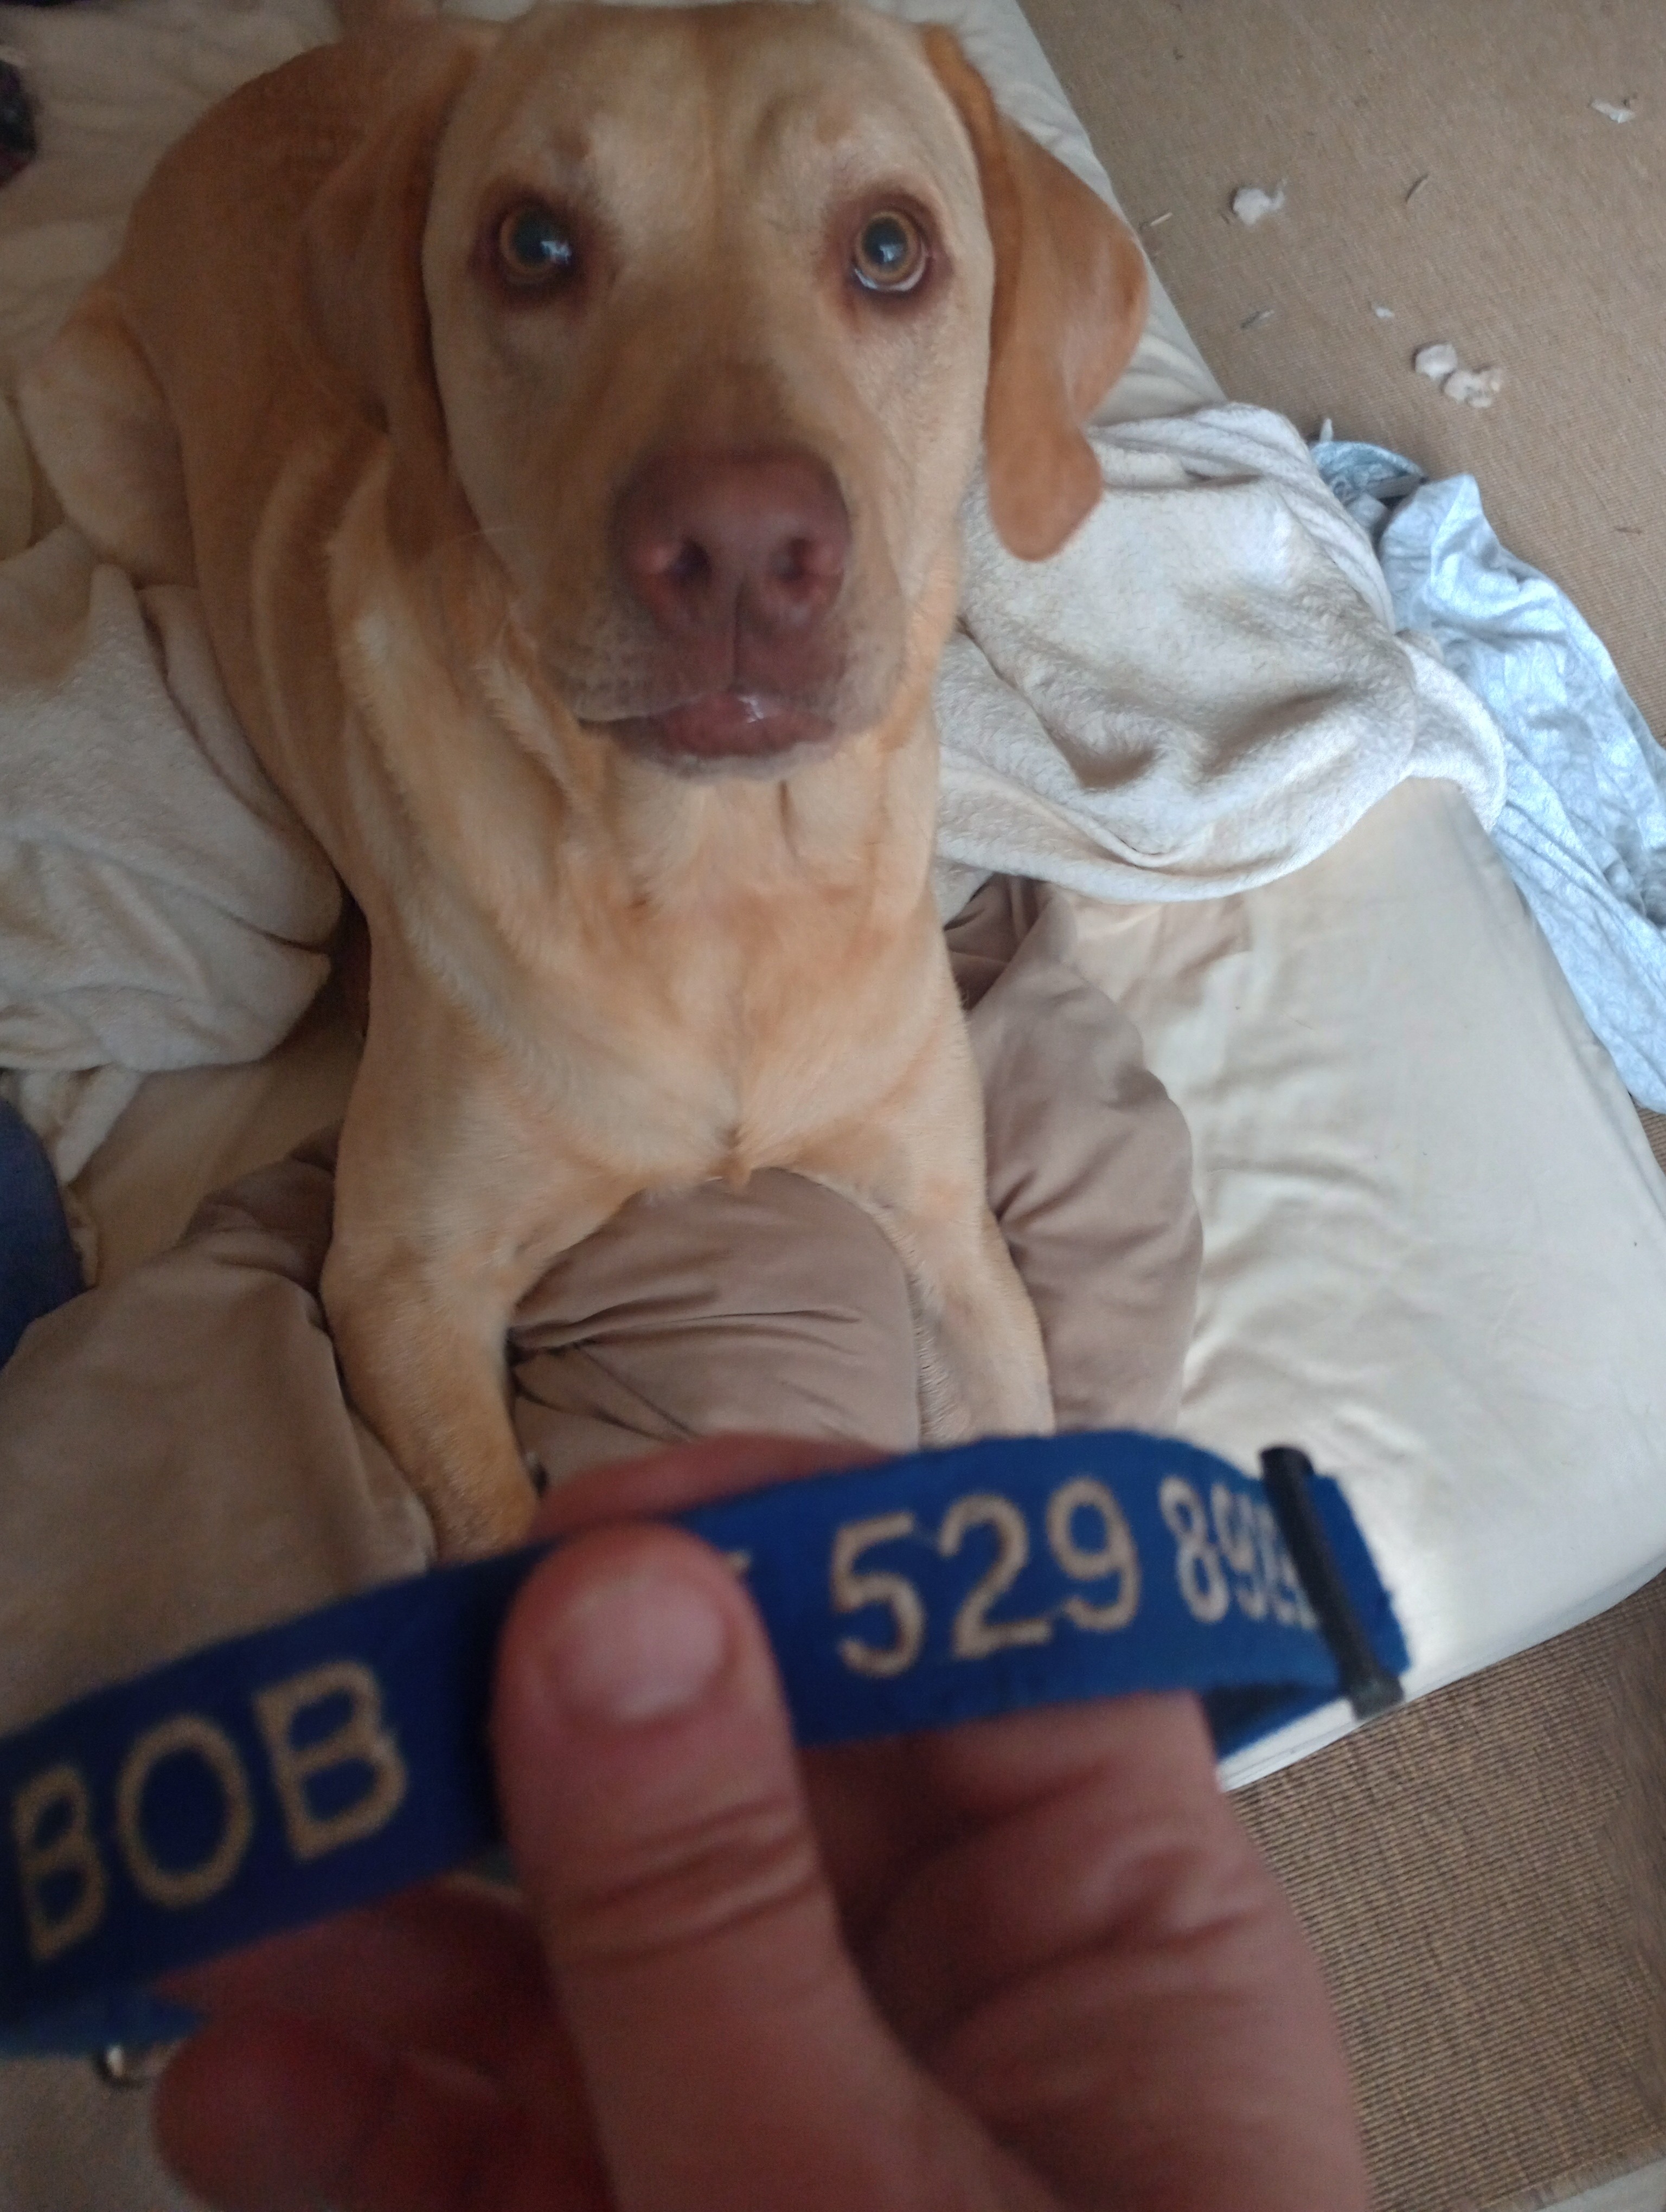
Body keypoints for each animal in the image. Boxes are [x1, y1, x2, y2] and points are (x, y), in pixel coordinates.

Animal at [21, 1, 1147, 1558]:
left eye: (891, 247)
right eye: (534, 244)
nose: (740, 546)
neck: (724, 879)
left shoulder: (946, 1228)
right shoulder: (403, 1283)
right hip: (107, 468)